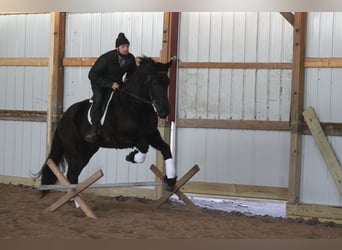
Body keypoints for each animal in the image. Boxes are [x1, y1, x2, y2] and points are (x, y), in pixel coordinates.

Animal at [37, 57, 176, 195]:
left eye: (168, 82)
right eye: (155, 83)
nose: (164, 112)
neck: (136, 106)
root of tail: (64, 116)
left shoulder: (152, 134)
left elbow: (165, 148)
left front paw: (170, 180)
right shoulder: (122, 138)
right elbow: (143, 145)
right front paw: (132, 156)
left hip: (88, 150)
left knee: (74, 173)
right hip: (74, 151)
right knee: (72, 173)